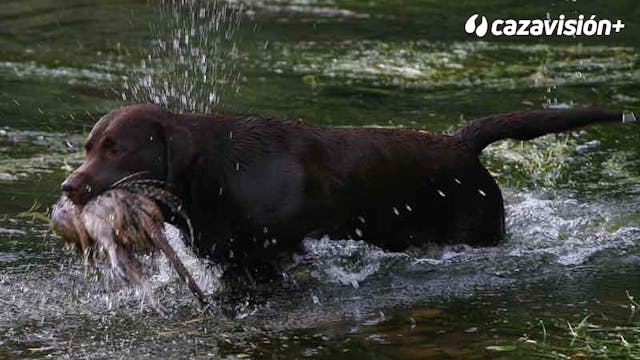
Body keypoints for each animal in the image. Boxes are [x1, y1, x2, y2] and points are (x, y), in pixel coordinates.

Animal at [61, 104, 636, 276]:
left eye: (116, 148)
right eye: (89, 145)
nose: (69, 186)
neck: (224, 174)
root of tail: (460, 143)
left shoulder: (279, 255)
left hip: (477, 229)